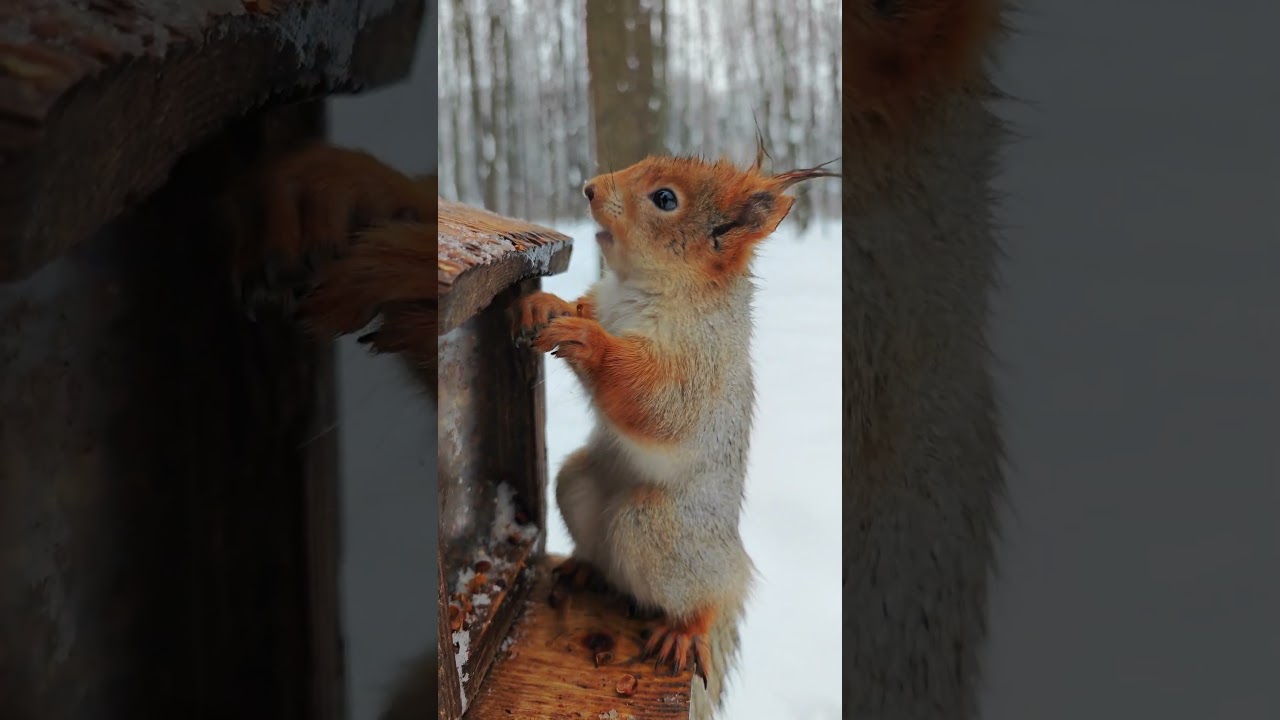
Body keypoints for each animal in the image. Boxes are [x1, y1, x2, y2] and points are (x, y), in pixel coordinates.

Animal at [513, 150, 836, 718]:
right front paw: (544, 305)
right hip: (579, 484)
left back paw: (685, 629)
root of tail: (733, 573)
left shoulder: (697, 367)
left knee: (696, 596)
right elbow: (582, 307)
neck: (640, 289)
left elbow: (656, 402)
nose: (589, 189)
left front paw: (589, 342)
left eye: (665, 199)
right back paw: (586, 568)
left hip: (665, 531)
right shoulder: (604, 299)